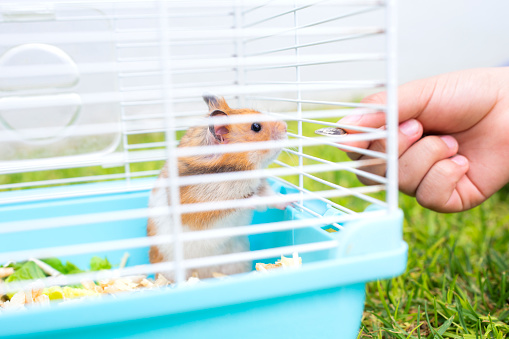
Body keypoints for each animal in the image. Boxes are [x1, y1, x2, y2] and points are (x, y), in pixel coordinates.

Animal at [147, 95, 288, 282]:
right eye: (256, 127)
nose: (286, 126)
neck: (235, 170)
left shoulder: (259, 185)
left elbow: (270, 196)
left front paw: (289, 202)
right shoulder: (208, 205)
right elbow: (244, 202)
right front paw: (258, 204)